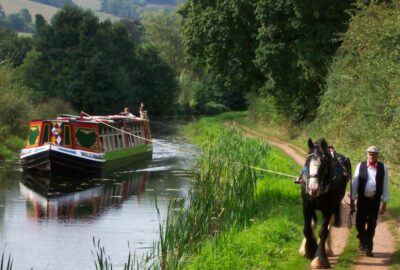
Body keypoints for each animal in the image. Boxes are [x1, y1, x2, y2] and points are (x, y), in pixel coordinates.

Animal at [298, 138, 352, 268]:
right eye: (307, 162)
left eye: (324, 163)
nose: (313, 189)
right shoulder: (307, 205)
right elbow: (307, 229)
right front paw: (309, 250)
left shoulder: (328, 208)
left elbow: (323, 231)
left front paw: (319, 259)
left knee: (328, 226)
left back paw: (327, 249)